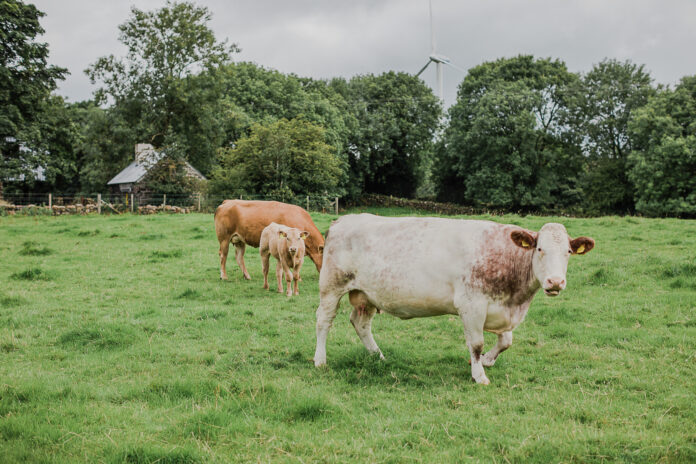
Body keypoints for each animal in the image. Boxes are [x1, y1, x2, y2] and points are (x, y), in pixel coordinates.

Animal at [312, 214, 596, 384]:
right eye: (539, 249)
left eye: (568, 251)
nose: (555, 282)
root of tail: (344, 219)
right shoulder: (472, 305)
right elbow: (477, 344)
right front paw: (479, 374)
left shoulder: (499, 308)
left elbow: (506, 341)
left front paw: (488, 361)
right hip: (331, 287)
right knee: (324, 322)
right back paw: (320, 360)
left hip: (367, 295)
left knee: (360, 324)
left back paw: (378, 356)